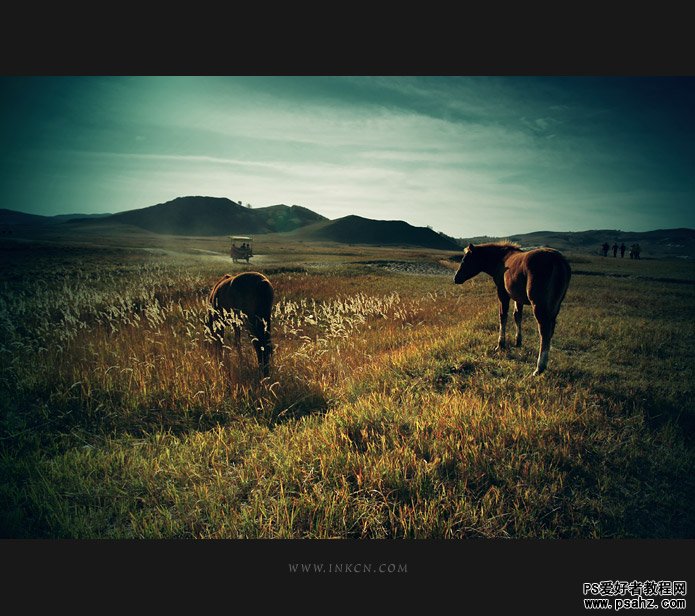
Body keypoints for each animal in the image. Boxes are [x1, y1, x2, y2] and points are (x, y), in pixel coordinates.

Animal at [454, 243, 572, 378]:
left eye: (466, 260)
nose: (456, 278)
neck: (501, 259)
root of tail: (558, 261)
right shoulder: (518, 297)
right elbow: (517, 316)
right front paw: (518, 342)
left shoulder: (502, 293)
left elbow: (503, 316)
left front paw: (500, 344)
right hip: (555, 306)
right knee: (550, 329)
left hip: (539, 305)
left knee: (544, 331)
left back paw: (539, 367)